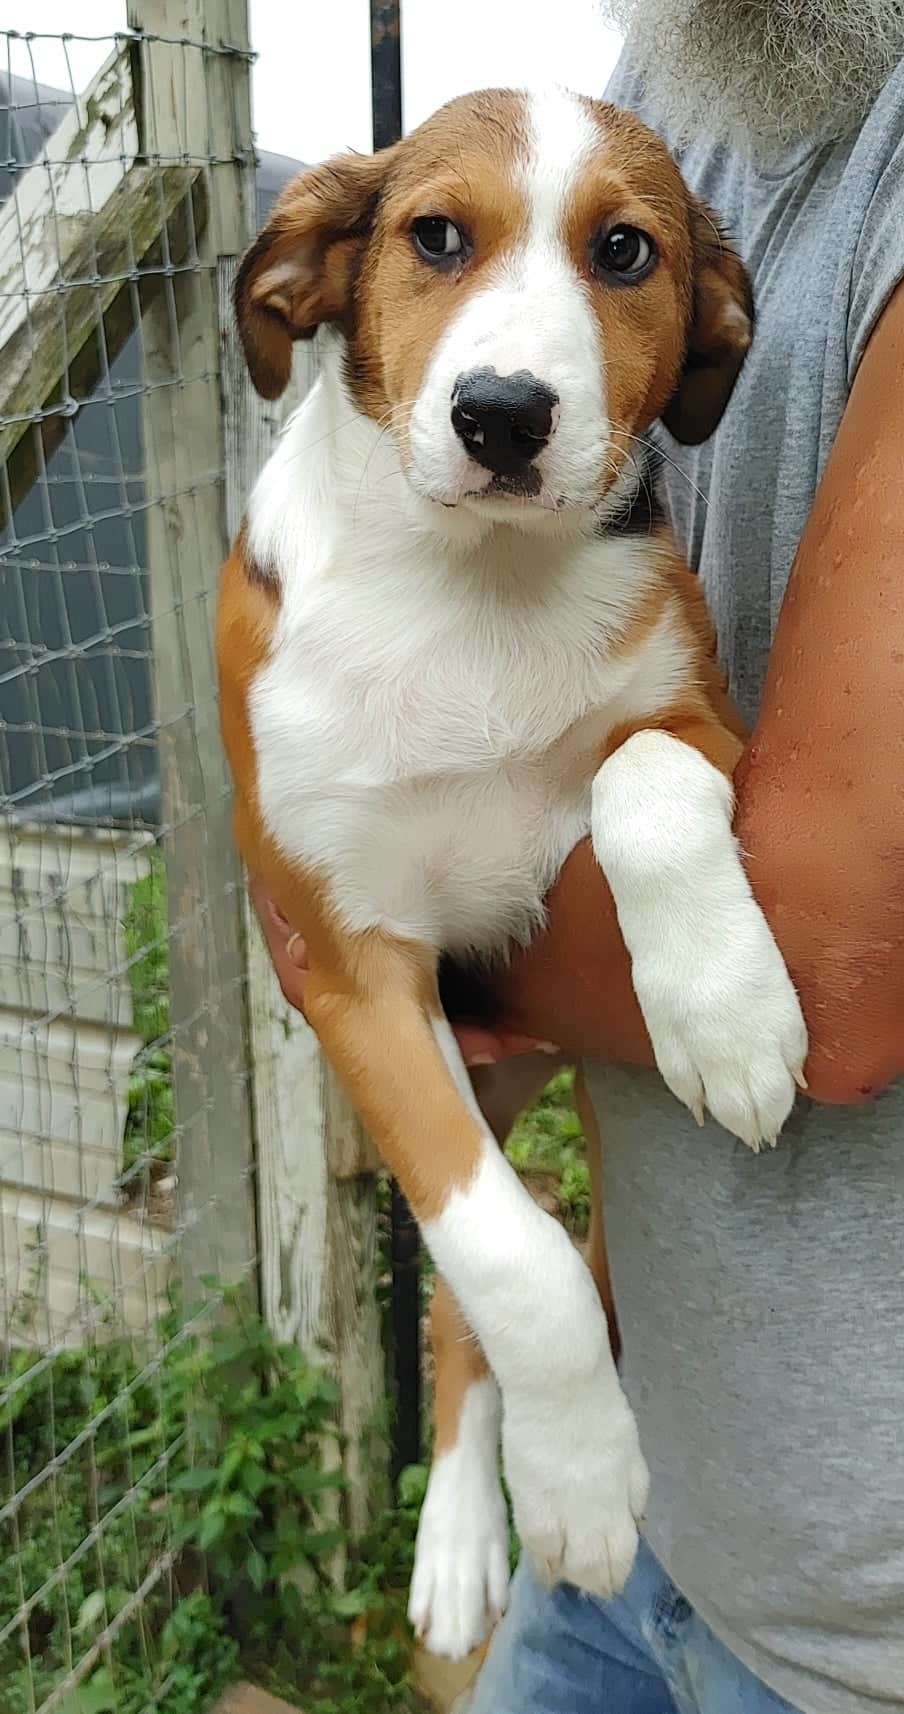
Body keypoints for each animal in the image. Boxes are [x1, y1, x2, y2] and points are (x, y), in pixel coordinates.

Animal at [217, 90, 806, 1659]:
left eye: (626, 251)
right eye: (433, 236)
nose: (502, 414)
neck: (468, 584)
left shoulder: (716, 730)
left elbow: (636, 776)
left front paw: (729, 1018)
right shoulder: (353, 968)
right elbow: (505, 1260)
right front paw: (580, 1484)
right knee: (470, 1292)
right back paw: (469, 1534)